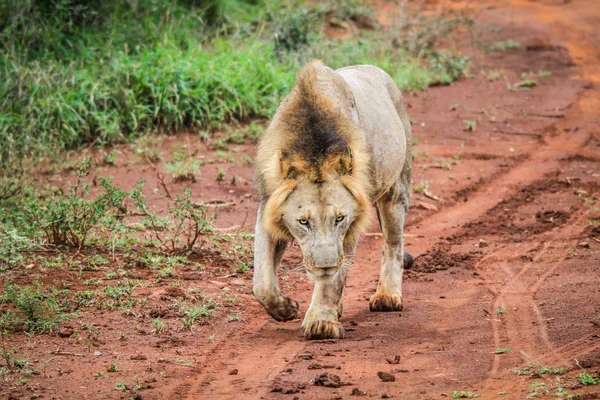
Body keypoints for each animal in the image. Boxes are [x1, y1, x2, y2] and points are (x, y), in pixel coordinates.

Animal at [252, 60, 412, 340]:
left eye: (339, 218)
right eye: (303, 222)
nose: (325, 265)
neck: (314, 151)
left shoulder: (350, 225)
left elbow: (331, 282)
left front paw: (321, 323)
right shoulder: (268, 208)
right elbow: (261, 281)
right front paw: (285, 309)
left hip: (397, 188)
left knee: (393, 244)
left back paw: (387, 296)